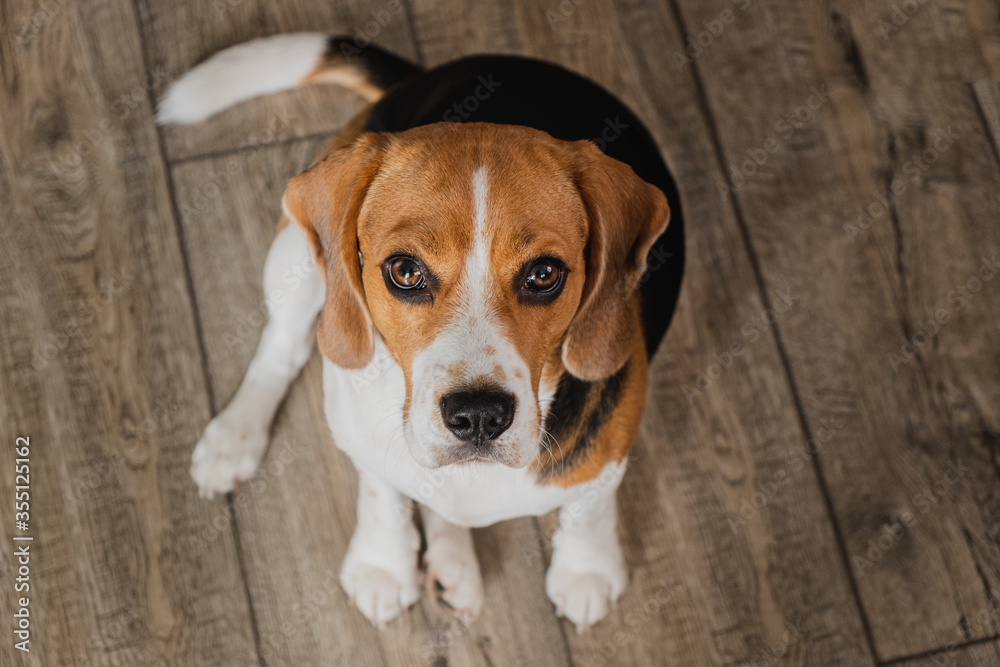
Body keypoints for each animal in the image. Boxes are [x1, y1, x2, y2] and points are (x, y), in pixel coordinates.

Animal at [160, 35, 684, 632]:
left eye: (544, 274)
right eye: (405, 271)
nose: (478, 416)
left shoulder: (613, 447)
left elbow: (590, 504)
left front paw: (586, 569)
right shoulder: (360, 434)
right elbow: (381, 492)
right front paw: (382, 564)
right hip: (295, 255)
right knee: (283, 347)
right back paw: (234, 437)